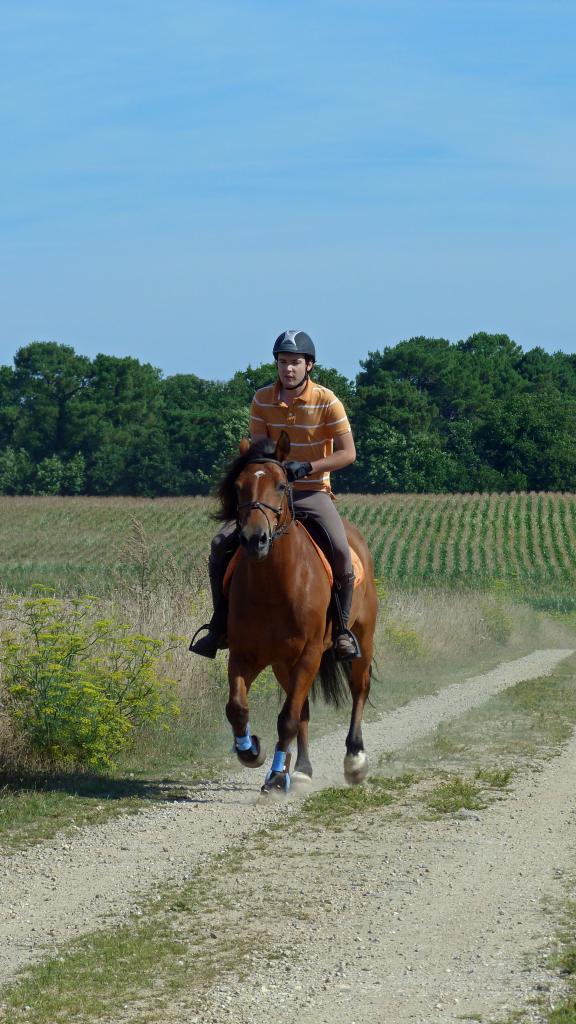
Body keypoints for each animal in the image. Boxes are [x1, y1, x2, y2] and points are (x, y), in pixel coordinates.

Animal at [216, 430, 377, 790]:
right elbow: (237, 708)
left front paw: (276, 778)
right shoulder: (245, 654)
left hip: (363, 636)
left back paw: (355, 759)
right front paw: (252, 751)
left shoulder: (309, 654)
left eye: (281, 485)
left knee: (359, 688)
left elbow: (287, 718)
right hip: (282, 663)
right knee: (302, 707)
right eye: (239, 486)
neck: (274, 584)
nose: (255, 539)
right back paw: (301, 769)